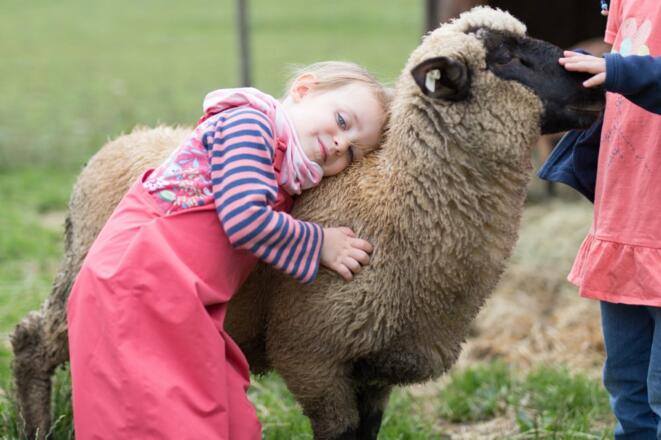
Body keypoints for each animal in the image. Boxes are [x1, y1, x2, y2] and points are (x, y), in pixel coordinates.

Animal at [11, 7, 604, 440]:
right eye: (510, 58)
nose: (595, 82)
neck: (397, 199)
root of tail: (118, 142)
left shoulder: (373, 367)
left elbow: (367, 433)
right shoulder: (313, 355)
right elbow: (338, 432)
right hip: (82, 278)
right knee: (31, 340)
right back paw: (37, 428)